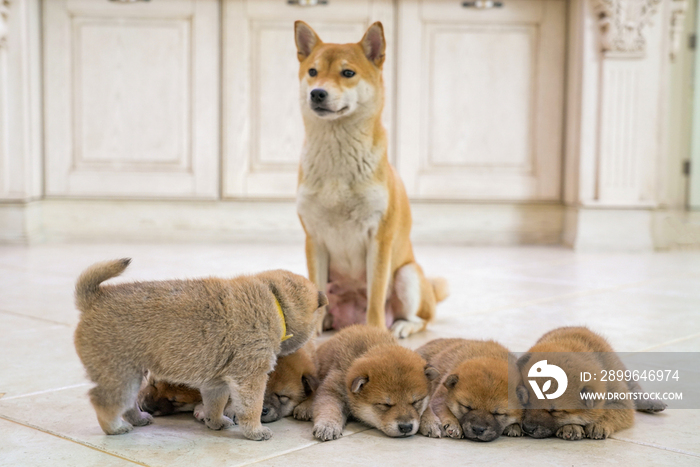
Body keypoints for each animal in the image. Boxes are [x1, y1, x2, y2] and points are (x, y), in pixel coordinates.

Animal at [294, 20, 448, 338]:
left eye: (348, 73)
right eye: (313, 72)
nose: (317, 93)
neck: (337, 155)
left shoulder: (379, 238)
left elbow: (376, 296)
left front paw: (375, 332)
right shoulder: (314, 238)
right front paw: (312, 337)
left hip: (407, 275)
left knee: (422, 318)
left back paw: (401, 326)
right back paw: (327, 321)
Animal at [306, 326, 438, 442]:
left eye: (416, 401)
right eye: (385, 404)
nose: (406, 427)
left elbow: (426, 408)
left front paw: (430, 421)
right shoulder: (332, 390)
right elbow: (329, 408)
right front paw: (327, 426)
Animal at [516, 328, 664, 440]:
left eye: (555, 411)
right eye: (526, 401)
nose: (527, 428)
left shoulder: (621, 401)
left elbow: (610, 412)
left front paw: (598, 425)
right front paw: (571, 427)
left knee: (636, 390)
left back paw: (652, 403)